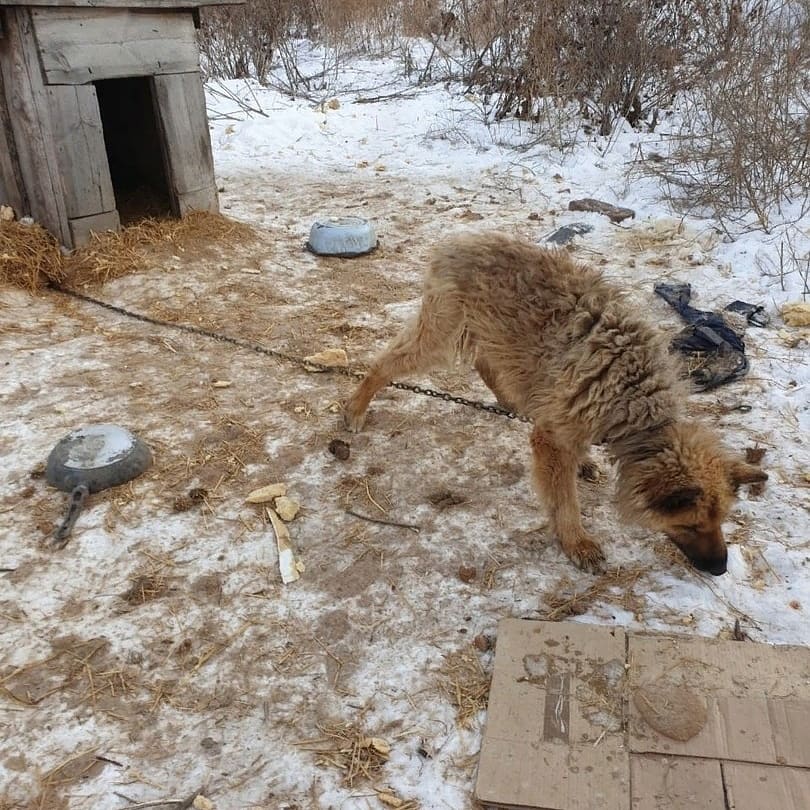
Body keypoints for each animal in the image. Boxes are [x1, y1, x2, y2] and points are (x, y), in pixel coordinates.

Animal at [344, 229, 768, 576]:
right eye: (690, 525)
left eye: (721, 520)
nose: (721, 569)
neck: (635, 400)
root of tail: (461, 239)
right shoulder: (554, 438)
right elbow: (564, 499)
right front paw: (576, 541)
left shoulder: (572, 421)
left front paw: (584, 465)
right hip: (440, 335)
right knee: (385, 363)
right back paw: (356, 407)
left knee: (486, 364)